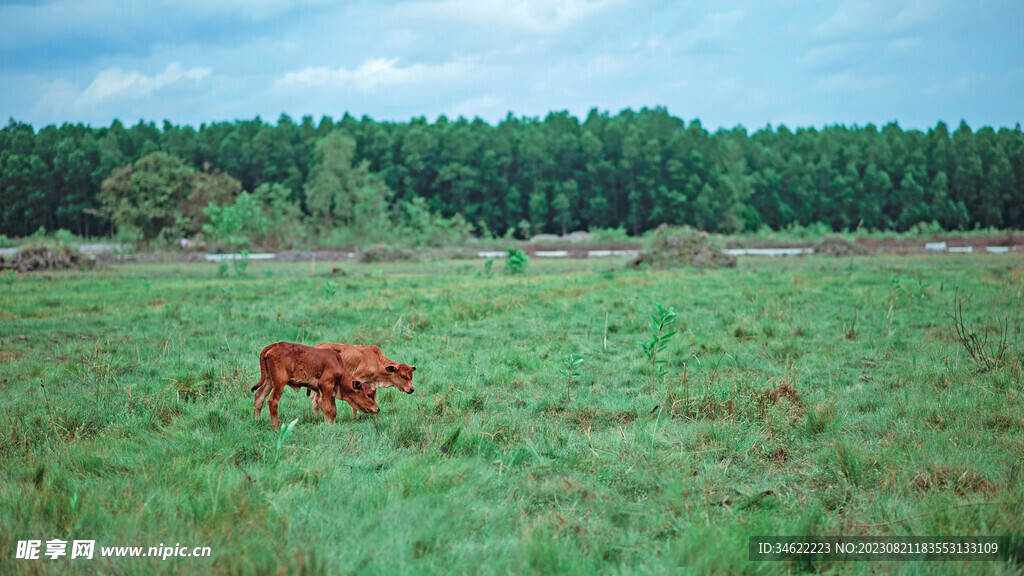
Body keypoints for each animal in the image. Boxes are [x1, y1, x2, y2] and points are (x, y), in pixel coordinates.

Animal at [251, 340, 380, 426]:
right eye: (369, 395)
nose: (378, 409)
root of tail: (275, 345)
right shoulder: (325, 385)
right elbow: (327, 409)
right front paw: (328, 426)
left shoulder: (331, 391)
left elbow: (333, 411)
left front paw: (332, 425)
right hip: (279, 383)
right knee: (272, 401)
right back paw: (276, 426)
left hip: (269, 380)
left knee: (259, 396)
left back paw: (256, 420)